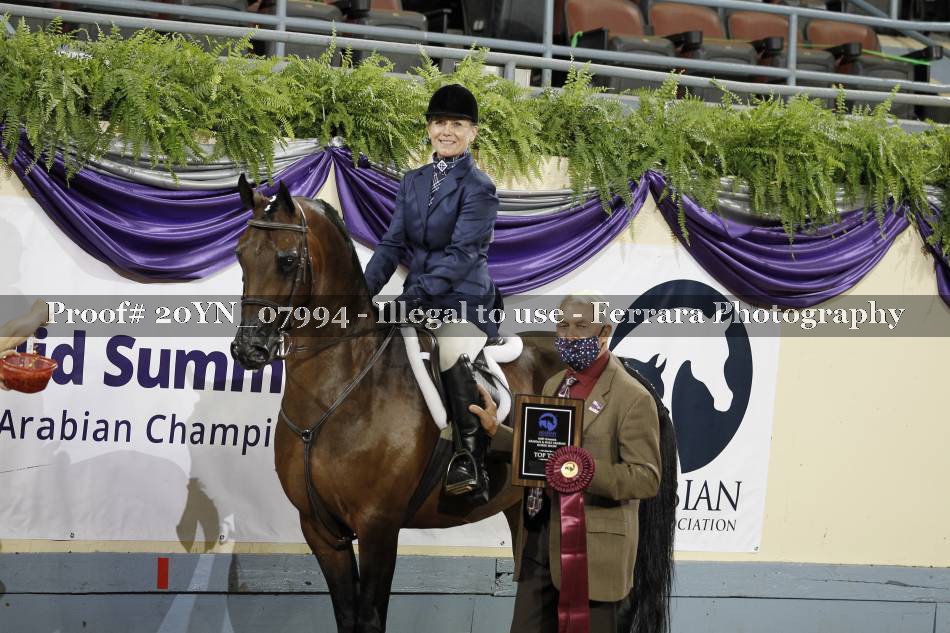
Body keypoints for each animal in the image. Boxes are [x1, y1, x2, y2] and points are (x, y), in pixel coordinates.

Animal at [229, 175, 676, 633]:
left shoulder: (378, 527)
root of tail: (628, 370)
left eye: (286, 260)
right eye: (241, 254)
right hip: (527, 512)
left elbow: (369, 619)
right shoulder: (321, 532)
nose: (249, 350)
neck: (341, 388)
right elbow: (347, 617)